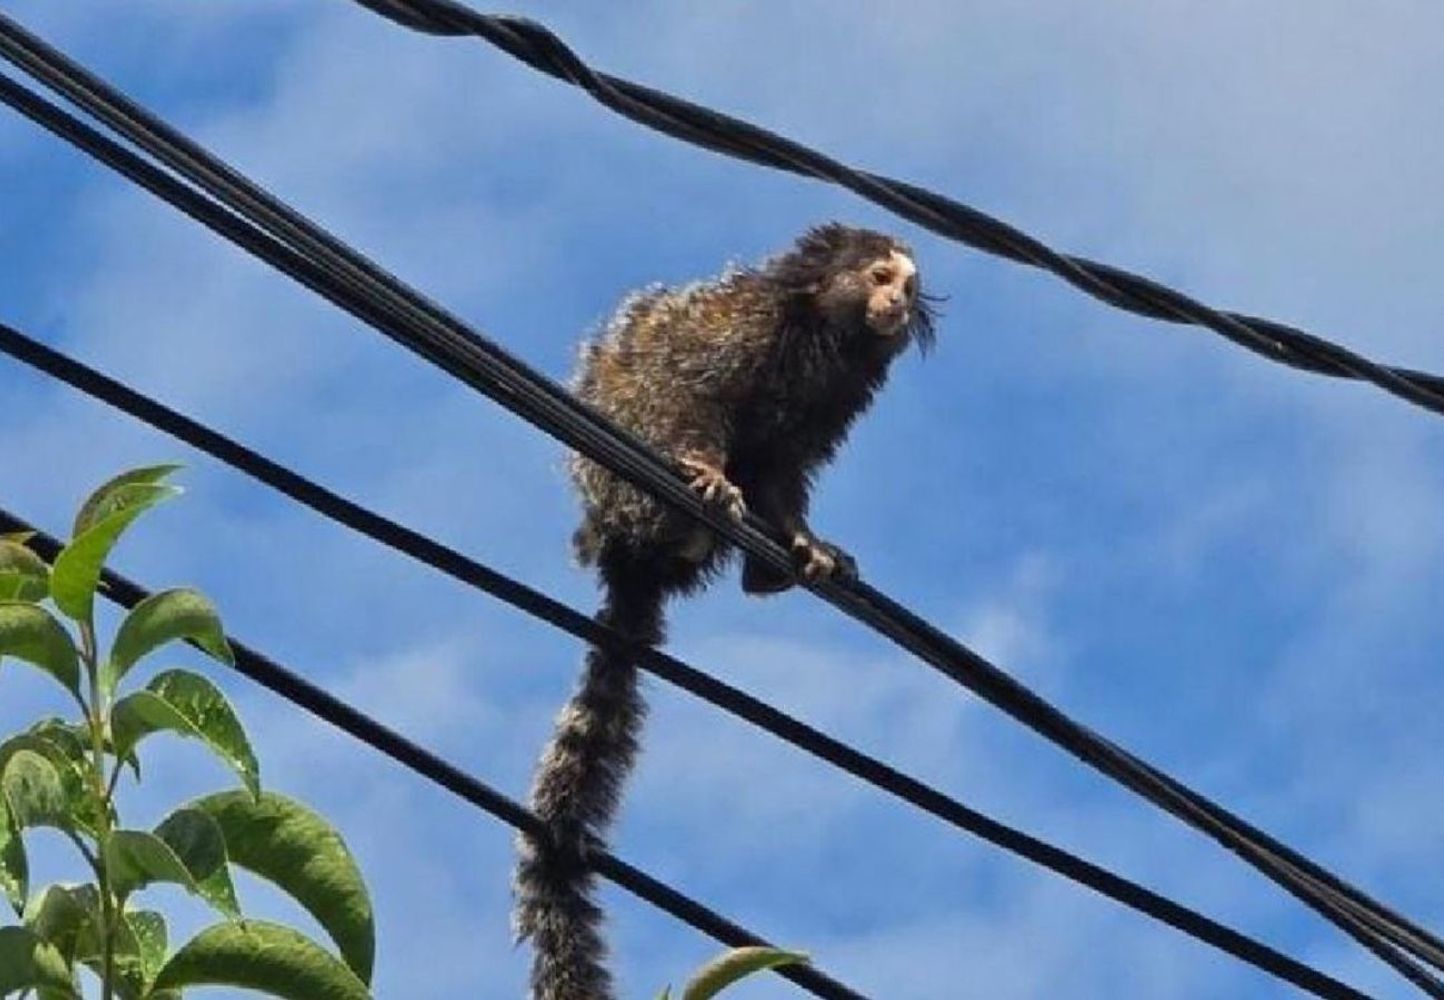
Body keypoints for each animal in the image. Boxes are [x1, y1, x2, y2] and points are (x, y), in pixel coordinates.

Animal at [512, 222, 938, 1000]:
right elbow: (691, 391)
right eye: (879, 276)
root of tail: (624, 560)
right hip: (622, 493)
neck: (822, 334)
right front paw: (710, 471)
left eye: (908, 286)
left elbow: (783, 471)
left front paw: (804, 541)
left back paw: (762, 572)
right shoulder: (740, 332)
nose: (896, 302)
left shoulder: (833, 400)